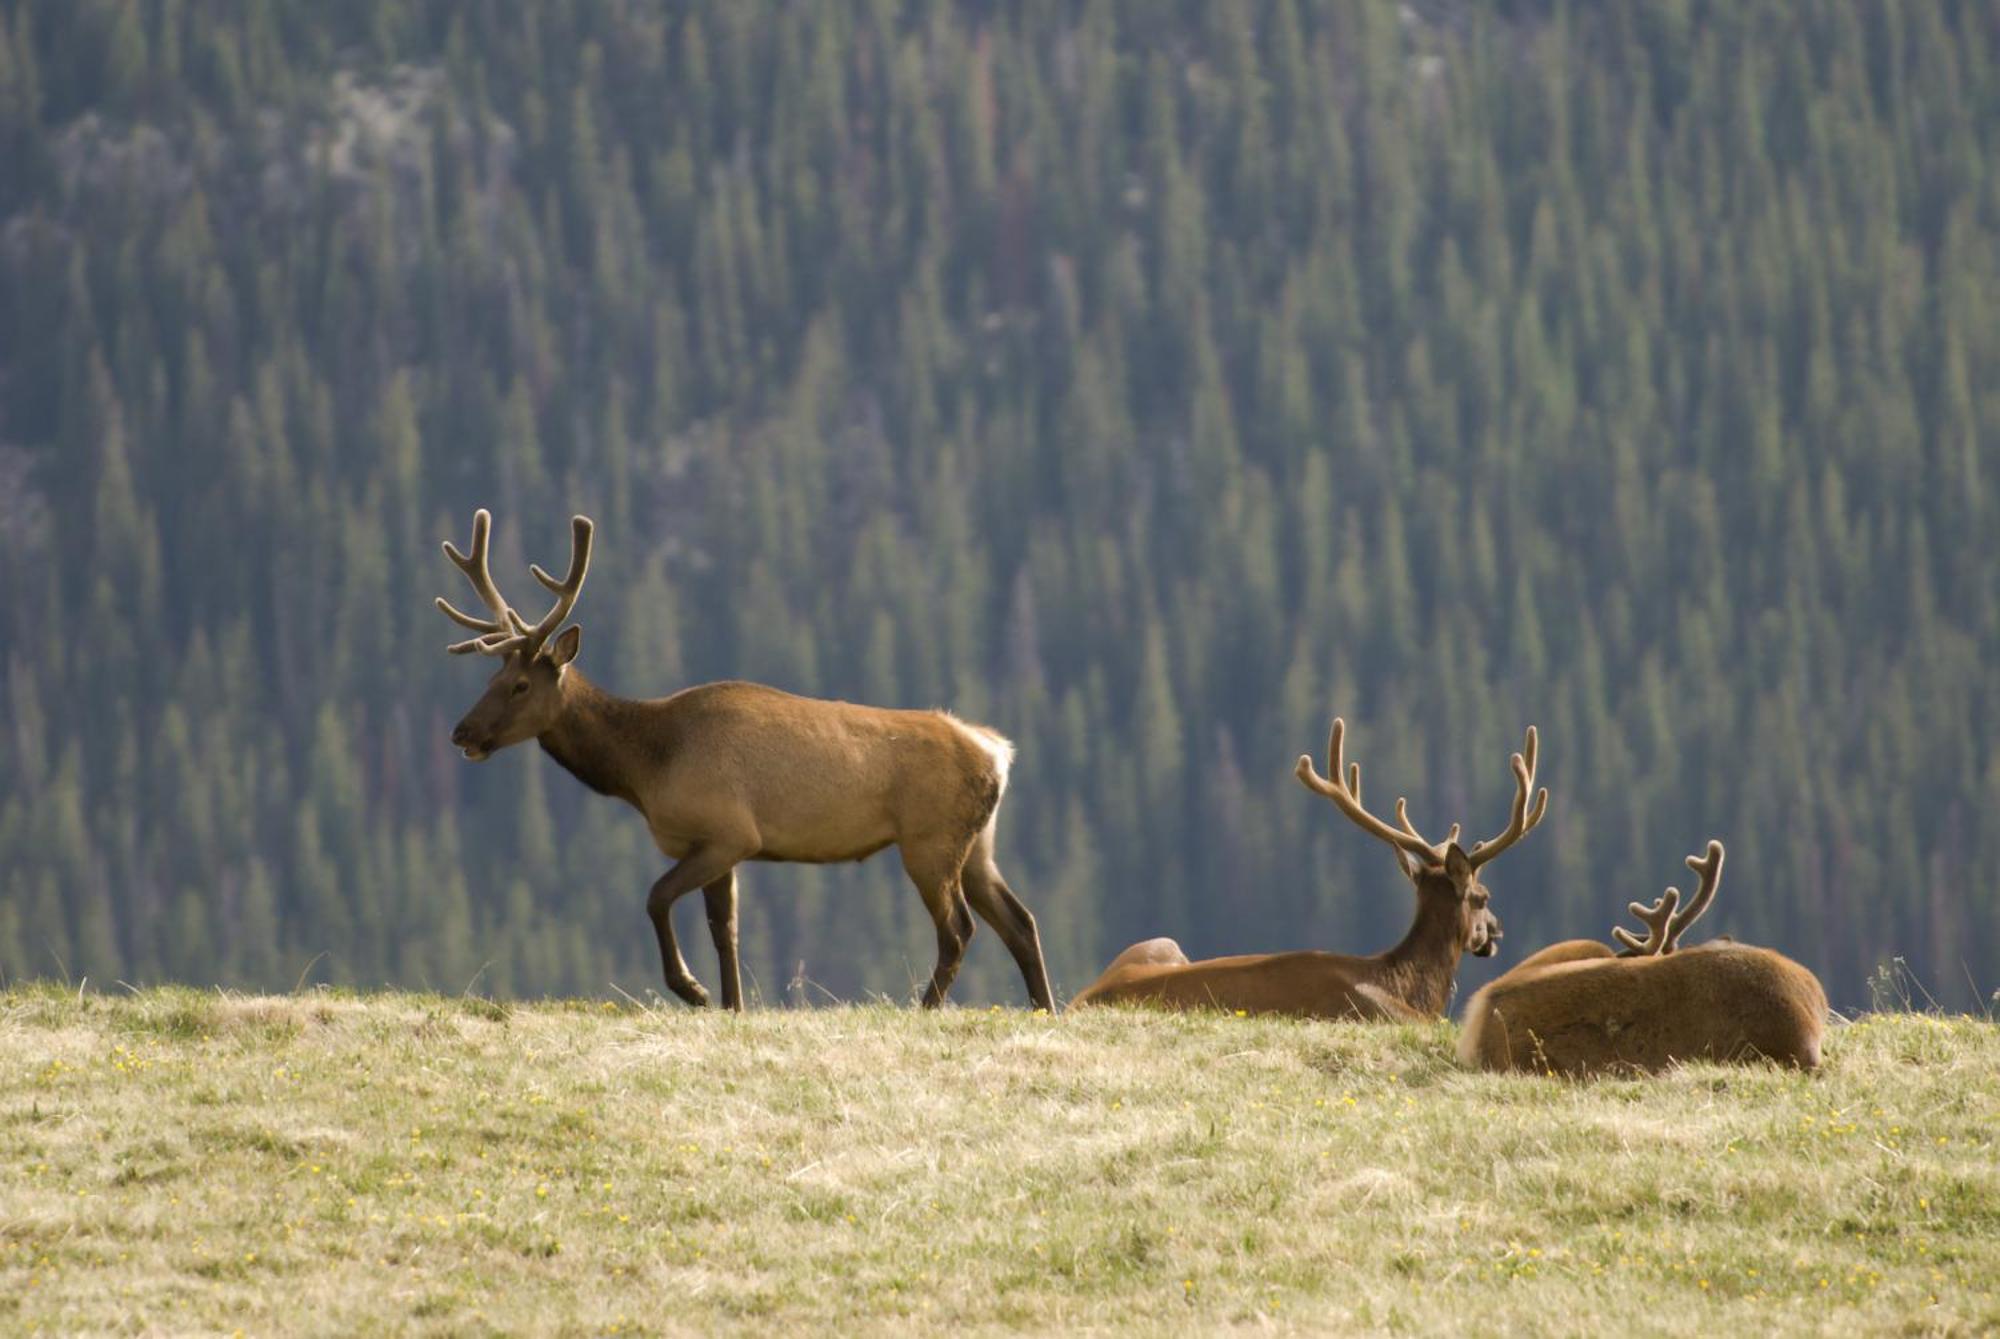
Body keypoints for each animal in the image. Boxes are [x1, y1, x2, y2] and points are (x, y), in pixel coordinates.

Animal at [436, 515, 1056, 1019]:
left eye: (519, 684)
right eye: (490, 677)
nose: (461, 732)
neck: (645, 768)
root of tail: (997, 751)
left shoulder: (727, 832)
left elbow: (656, 898)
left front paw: (693, 991)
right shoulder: (718, 847)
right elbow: (725, 931)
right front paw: (732, 1006)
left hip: (930, 840)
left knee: (959, 930)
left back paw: (924, 1009)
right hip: (976, 845)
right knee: (1021, 922)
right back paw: (1044, 1010)